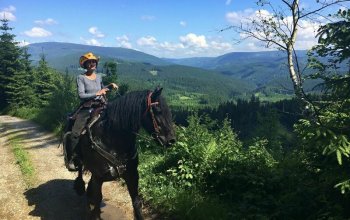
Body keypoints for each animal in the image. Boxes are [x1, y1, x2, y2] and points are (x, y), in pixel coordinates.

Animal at [65, 88, 175, 220]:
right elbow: (97, 199)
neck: (112, 139)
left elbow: (136, 202)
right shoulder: (98, 177)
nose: (171, 140)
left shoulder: (132, 175)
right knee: (80, 170)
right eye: (158, 111)